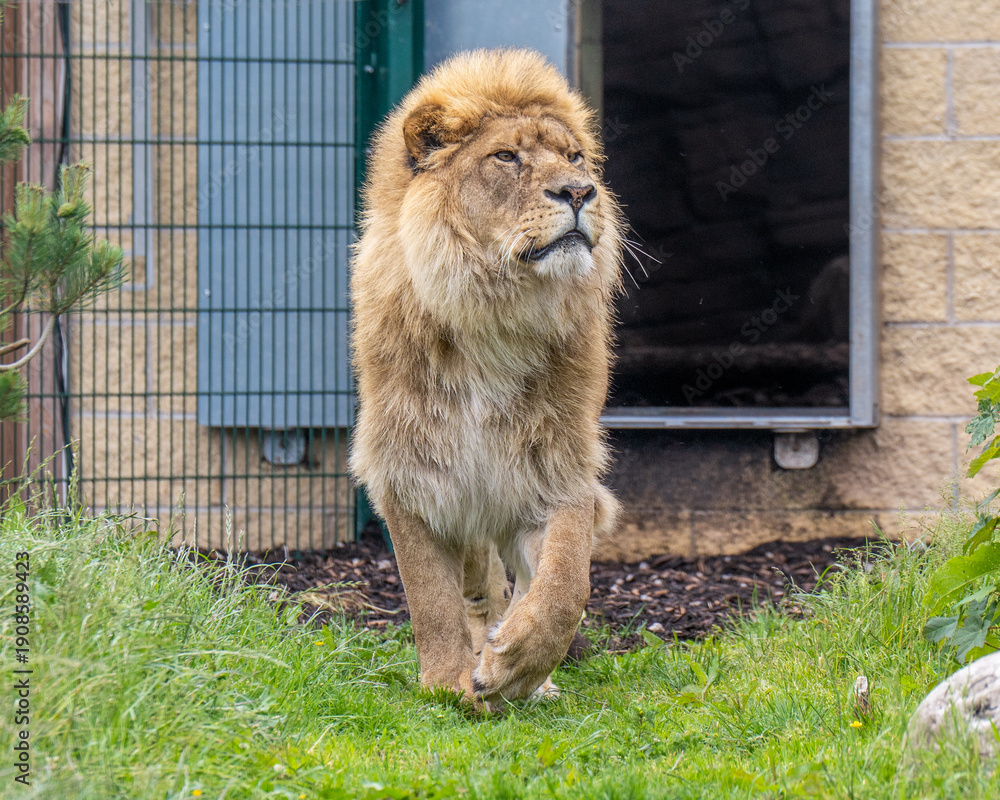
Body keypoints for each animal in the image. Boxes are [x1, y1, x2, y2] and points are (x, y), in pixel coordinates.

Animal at [349, 48, 624, 704]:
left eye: (574, 157)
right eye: (506, 157)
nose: (579, 192)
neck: (496, 312)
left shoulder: (559, 464)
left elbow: (564, 583)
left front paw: (518, 665)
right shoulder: (406, 466)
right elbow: (430, 595)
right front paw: (447, 681)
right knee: (476, 581)